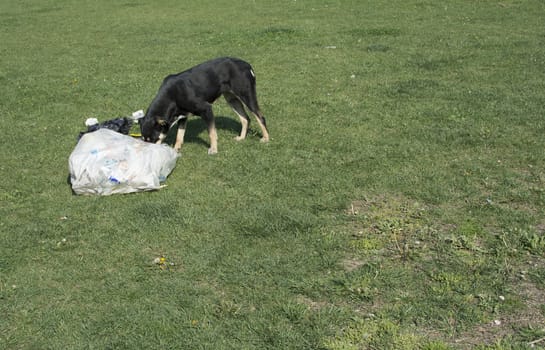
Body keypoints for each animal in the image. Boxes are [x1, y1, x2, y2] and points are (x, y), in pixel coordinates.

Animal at [139, 56, 268, 154]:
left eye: (152, 139)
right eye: (144, 139)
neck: (172, 96)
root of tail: (247, 65)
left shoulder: (206, 109)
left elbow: (212, 133)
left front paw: (214, 149)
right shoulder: (183, 116)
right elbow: (179, 135)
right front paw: (176, 150)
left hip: (247, 96)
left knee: (260, 117)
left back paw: (266, 138)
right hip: (232, 99)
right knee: (245, 119)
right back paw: (241, 137)